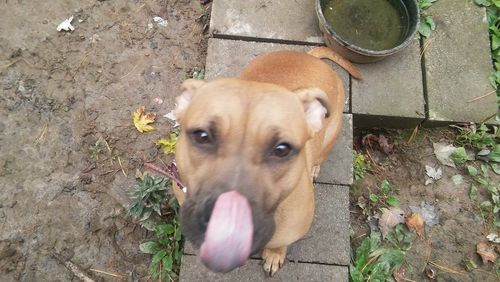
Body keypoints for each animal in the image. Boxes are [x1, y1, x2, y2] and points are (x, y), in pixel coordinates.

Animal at [172, 46, 360, 276]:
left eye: (282, 150)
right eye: (201, 136)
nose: (229, 220)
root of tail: (309, 57)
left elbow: (279, 242)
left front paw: (274, 254)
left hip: (332, 131)